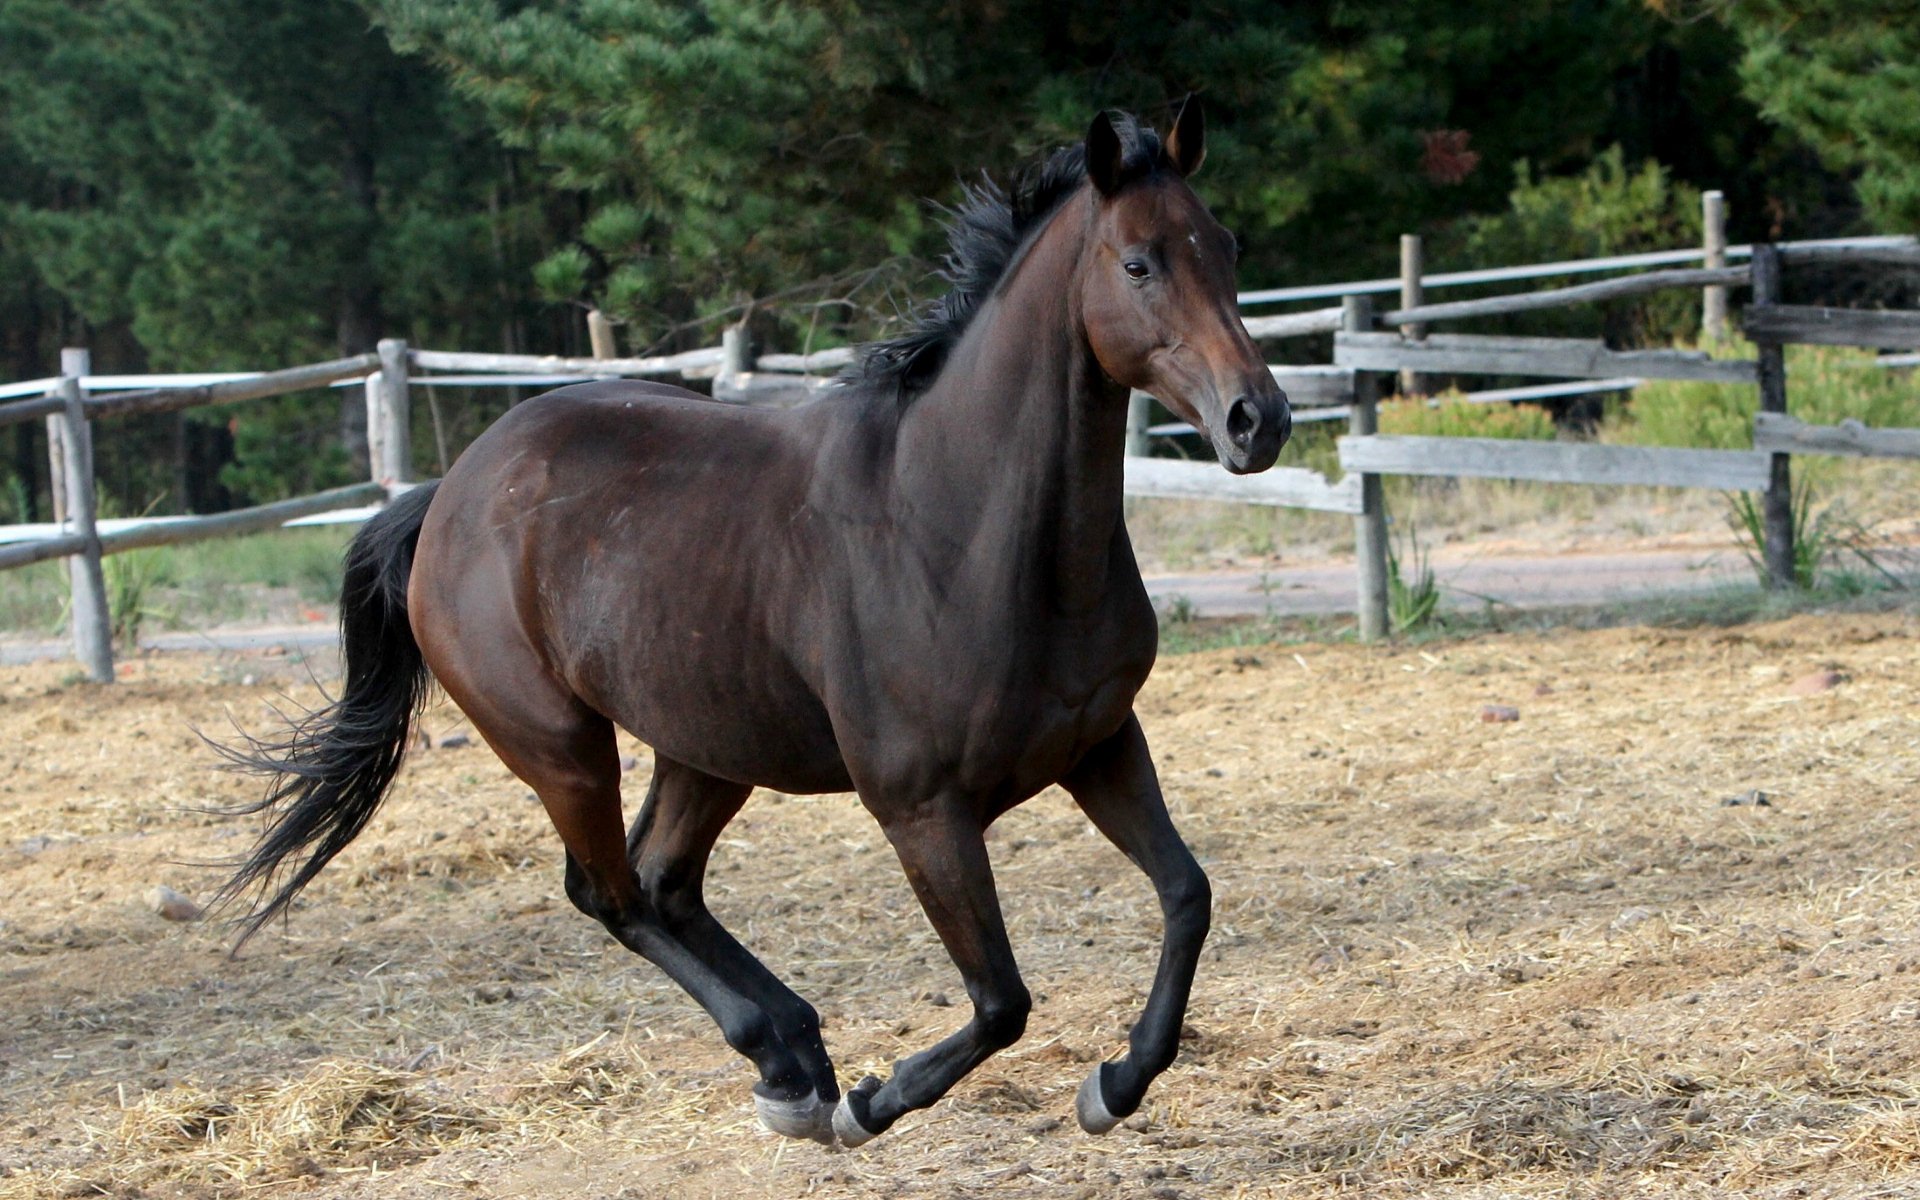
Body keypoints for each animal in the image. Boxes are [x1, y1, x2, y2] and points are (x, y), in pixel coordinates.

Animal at [217, 99, 1290, 1148]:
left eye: (1226, 246)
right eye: (1139, 262)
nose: (1258, 420)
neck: (961, 526)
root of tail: (448, 496)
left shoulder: (1100, 744)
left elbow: (1187, 897)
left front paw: (1117, 1082)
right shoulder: (922, 810)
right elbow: (1001, 1001)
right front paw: (874, 1104)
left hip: (709, 743)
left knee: (664, 882)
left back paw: (794, 1060)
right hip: (563, 748)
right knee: (611, 893)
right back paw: (794, 1069)